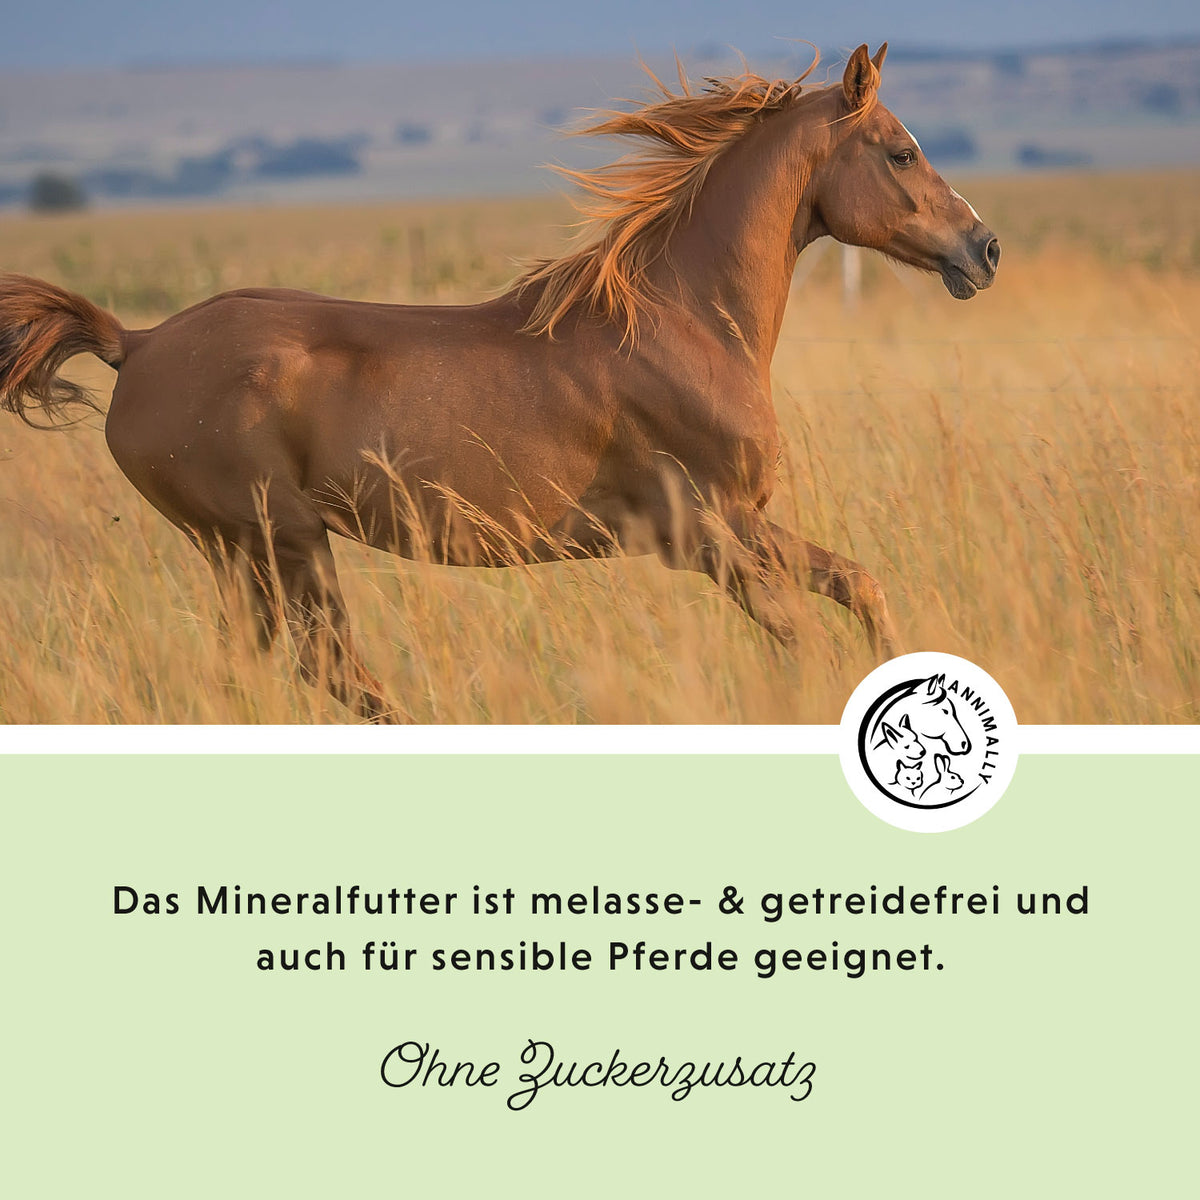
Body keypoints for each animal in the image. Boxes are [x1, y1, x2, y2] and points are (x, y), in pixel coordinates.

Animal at [0, 44, 999, 721]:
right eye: (901, 151)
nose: (983, 248)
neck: (682, 323)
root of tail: (136, 343)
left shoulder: (745, 523)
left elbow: (859, 587)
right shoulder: (704, 531)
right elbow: (799, 631)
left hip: (248, 555)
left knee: (262, 673)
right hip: (277, 542)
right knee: (332, 672)